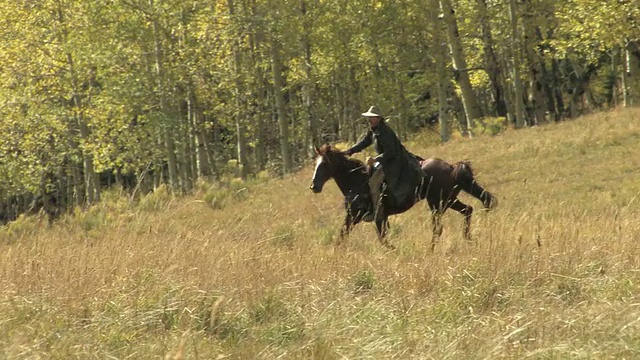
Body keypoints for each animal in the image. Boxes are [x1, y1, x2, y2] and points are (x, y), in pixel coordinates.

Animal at [308, 145, 498, 249]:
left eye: (324, 164)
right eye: (315, 163)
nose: (314, 186)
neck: (357, 181)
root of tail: (451, 167)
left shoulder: (377, 216)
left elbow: (382, 239)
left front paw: (396, 249)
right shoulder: (354, 216)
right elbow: (342, 235)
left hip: (437, 203)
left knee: (438, 228)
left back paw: (431, 250)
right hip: (448, 200)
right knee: (467, 210)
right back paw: (468, 239)